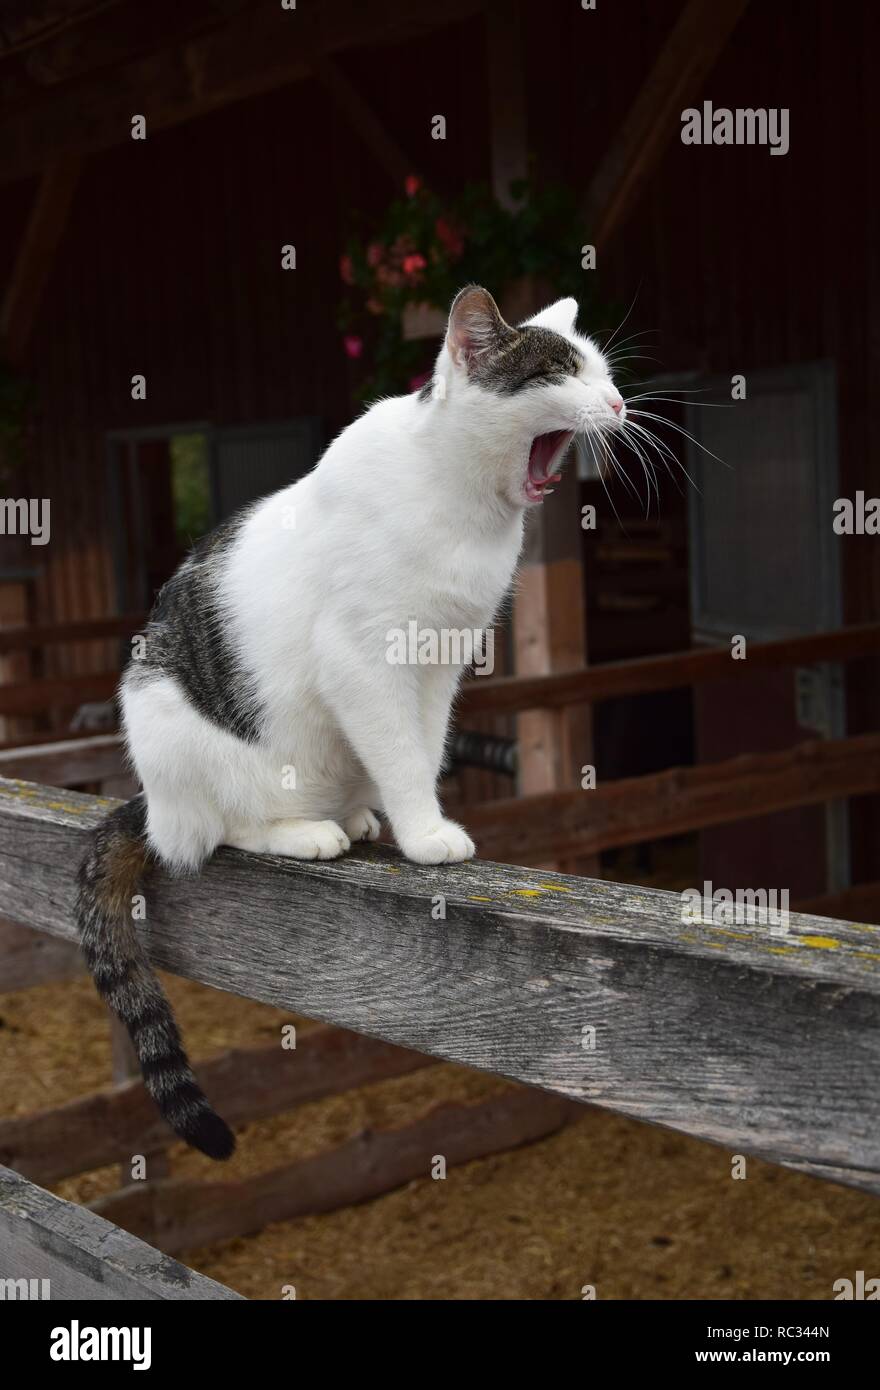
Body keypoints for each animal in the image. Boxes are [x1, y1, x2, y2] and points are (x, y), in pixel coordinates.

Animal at [75, 282, 625, 1150]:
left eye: (604, 373)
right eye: (563, 373)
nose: (620, 403)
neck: (460, 501)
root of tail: (149, 801)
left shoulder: (441, 665)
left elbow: (423, 751)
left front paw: (410, 821)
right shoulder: (365, 660)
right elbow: (399, 754)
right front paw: (426, 834)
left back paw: (354, 814)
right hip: (173, 724)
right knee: (211, 832)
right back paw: (304, 830)